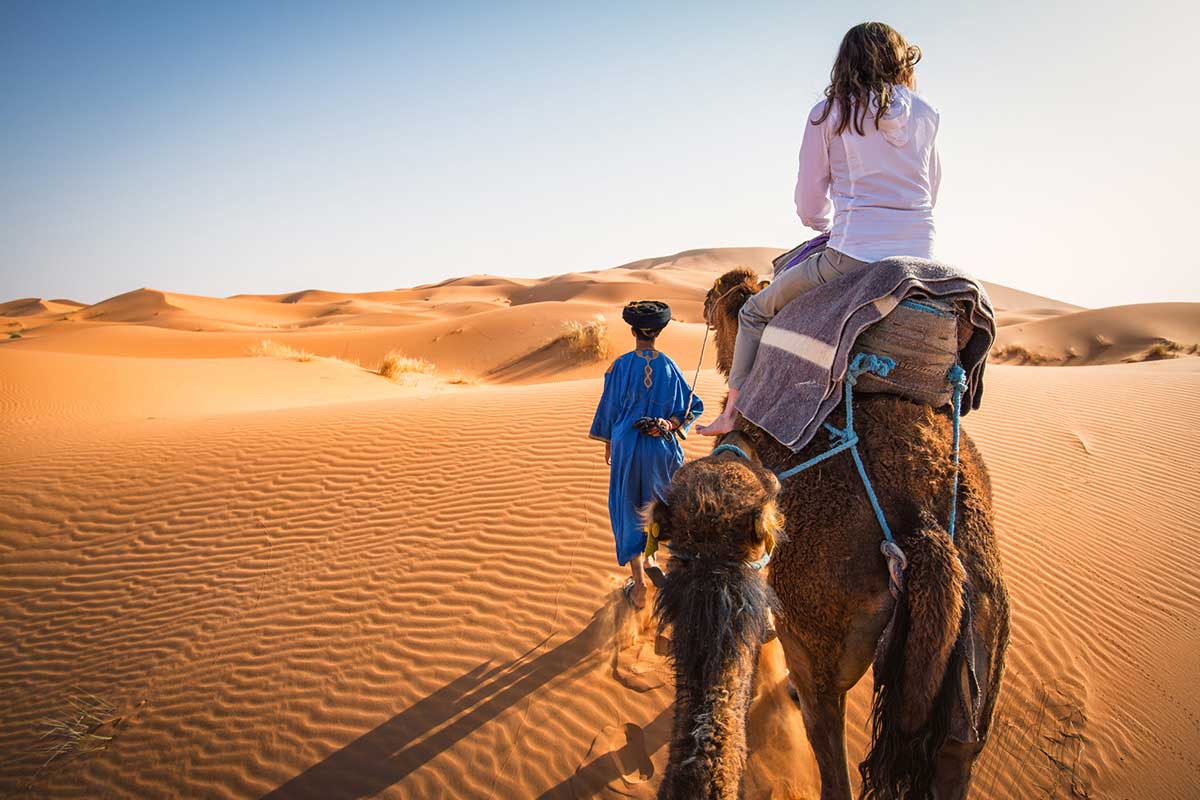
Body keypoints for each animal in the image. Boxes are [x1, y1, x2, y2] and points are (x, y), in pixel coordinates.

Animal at [652, 271, 1008, 800]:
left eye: (716, 296)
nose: (704, 304)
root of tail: (925, 528)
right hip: (981, 637)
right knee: (956, 748)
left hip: (819, 636)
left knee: (827, 740)